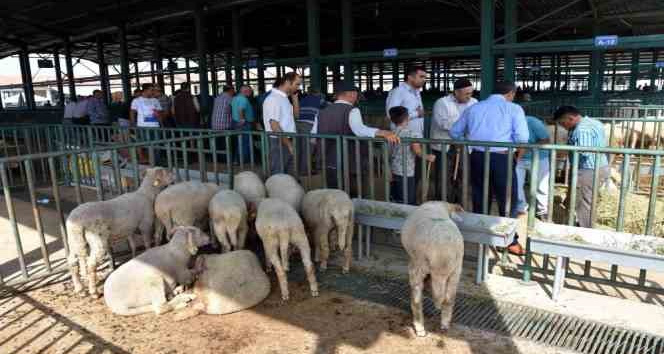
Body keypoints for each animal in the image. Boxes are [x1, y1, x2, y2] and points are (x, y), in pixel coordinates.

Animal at [66, 167, 175, 298]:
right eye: (166, 172)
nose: (174, 177)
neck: (147, 194)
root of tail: (76, 219)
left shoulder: (129, 229)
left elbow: (133, 245)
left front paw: (134, 258)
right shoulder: (145, 225)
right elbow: (147, 243)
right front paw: (147, 253)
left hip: (74, 239)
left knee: (72, 261)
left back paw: (80, 289)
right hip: (97, 238)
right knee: (91, 264)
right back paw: (93, 292)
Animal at [402, 201, 464, 336]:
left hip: (421, 265)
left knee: (417, 298)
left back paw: (420, 327)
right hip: (453, 271)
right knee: (447, 298)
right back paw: (441, 324)